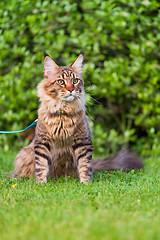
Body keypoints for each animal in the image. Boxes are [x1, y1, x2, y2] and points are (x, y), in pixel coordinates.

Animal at [11, 53, 144, 183]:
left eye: (75, 80)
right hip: (25, 153)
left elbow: (85, 165)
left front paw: (86, 183)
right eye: (61, 81)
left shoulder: (83, 141)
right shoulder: (42, 142)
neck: (63, 113)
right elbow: (41, 166)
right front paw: (41, 184)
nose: (71, 89)